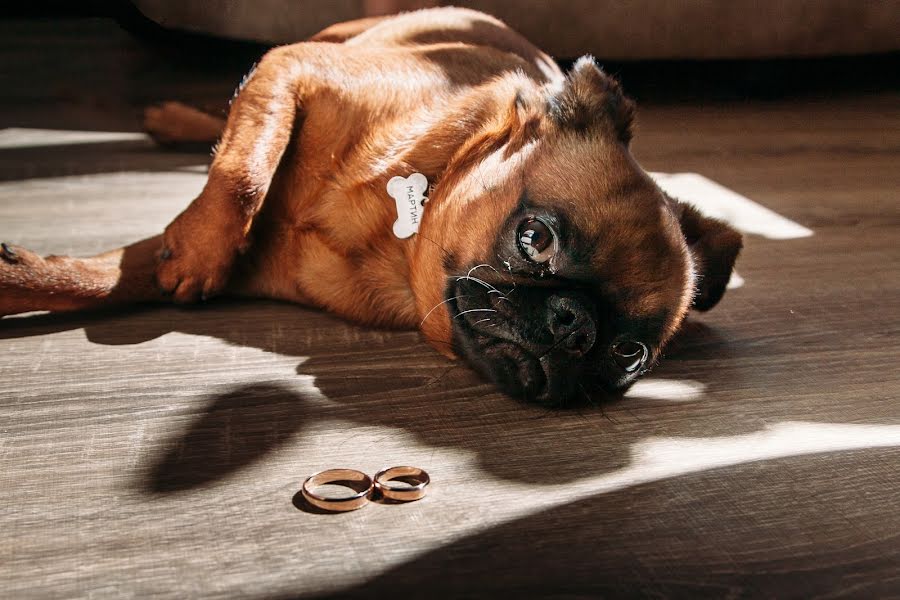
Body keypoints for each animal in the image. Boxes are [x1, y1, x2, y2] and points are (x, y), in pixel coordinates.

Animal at [0, 8, 740, 404]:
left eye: (627, 359)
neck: (392, 236)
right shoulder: (292, 68)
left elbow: (96, 277)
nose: (574, 326)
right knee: (230, 117)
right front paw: (204, 246)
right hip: (324, 41)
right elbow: (241, 170)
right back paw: (173, 120)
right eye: (536, 238)